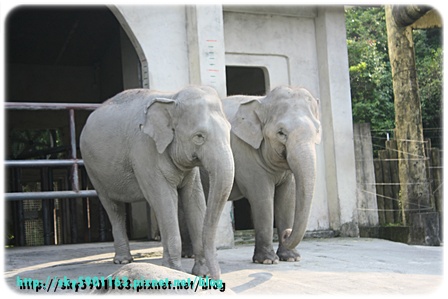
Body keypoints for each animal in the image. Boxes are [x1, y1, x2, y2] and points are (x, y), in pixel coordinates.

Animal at [80, 85, 234, 280]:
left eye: (229, 131)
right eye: (199, 136)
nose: (216, 279)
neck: (172, 98)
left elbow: (194, 200)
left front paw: (201, 273)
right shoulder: (145, 150)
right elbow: (165, 199)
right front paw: (175, 270)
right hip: (93, 169)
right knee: (113, 207)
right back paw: (123, 260)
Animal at [222, 86, 320, 264]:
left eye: (317, 131)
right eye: (281, 133)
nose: (286, 233)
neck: (262, 101)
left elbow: (287, 199)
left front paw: (291, 258)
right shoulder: (245, 154)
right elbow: (262, 198)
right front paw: (267, 261)